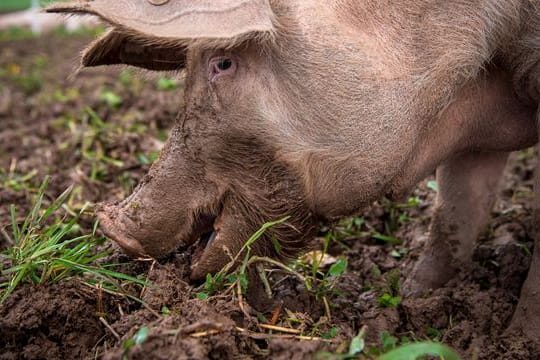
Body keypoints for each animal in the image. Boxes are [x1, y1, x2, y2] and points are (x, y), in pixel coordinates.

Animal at [47, 0, 540, 342]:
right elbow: (454, 218)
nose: (110, 226)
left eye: (223, 62)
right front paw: (410, 301)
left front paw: (514, 339)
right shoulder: (477, 138)